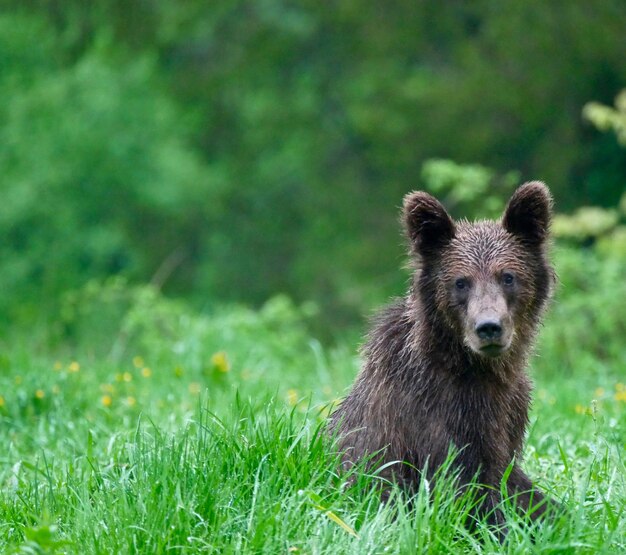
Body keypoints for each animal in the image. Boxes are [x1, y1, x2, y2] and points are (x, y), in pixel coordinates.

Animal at [330, 184, 552, 528]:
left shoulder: (511, 412)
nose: (489, 327)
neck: (478, 369)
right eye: (461, 281)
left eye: (508, 276)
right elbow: (465, 491)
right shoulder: (436, 414)